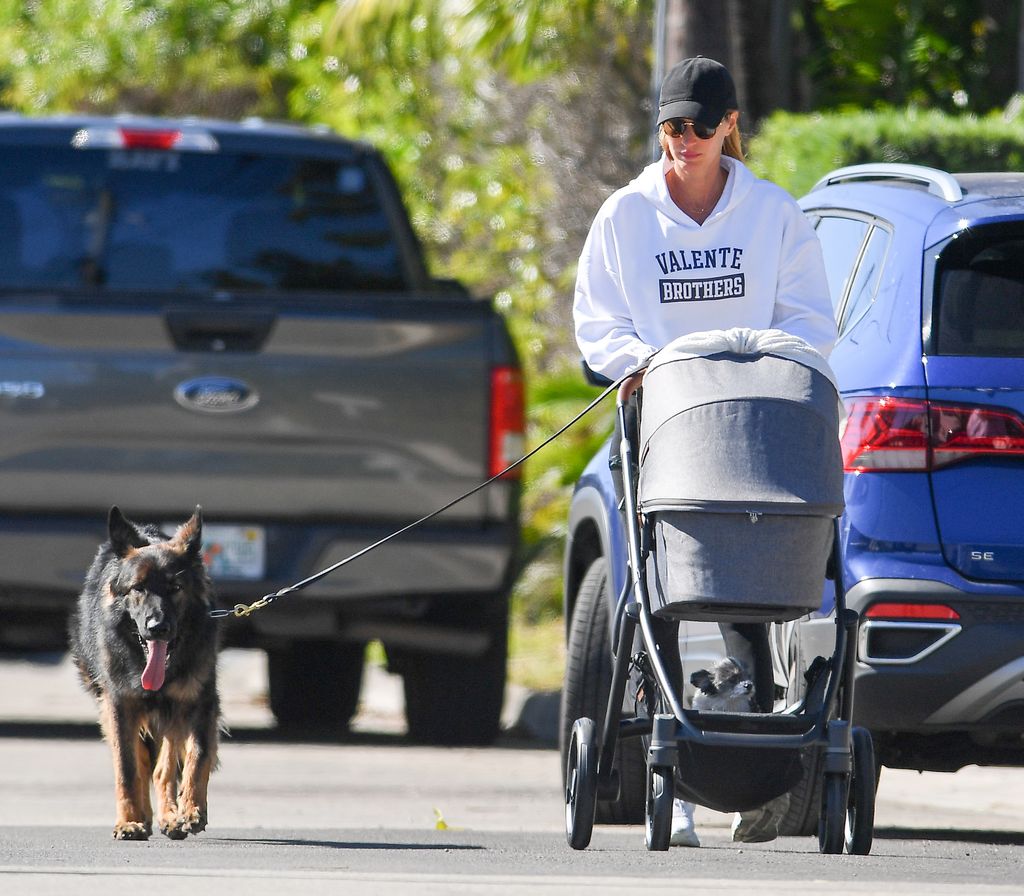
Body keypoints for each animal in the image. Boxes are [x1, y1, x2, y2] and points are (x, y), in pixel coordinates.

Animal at [69, 507, 220, 843]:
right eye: (138, 588)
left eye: (176, 589)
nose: (157, 627)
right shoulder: (120, 704)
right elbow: (127, 768)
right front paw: (129, 821)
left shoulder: (199, 703)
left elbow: (197, 756)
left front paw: (191, 809)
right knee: (140, 760)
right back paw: (146, 816)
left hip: (172, 714)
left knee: (164, 768)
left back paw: (170, 817)